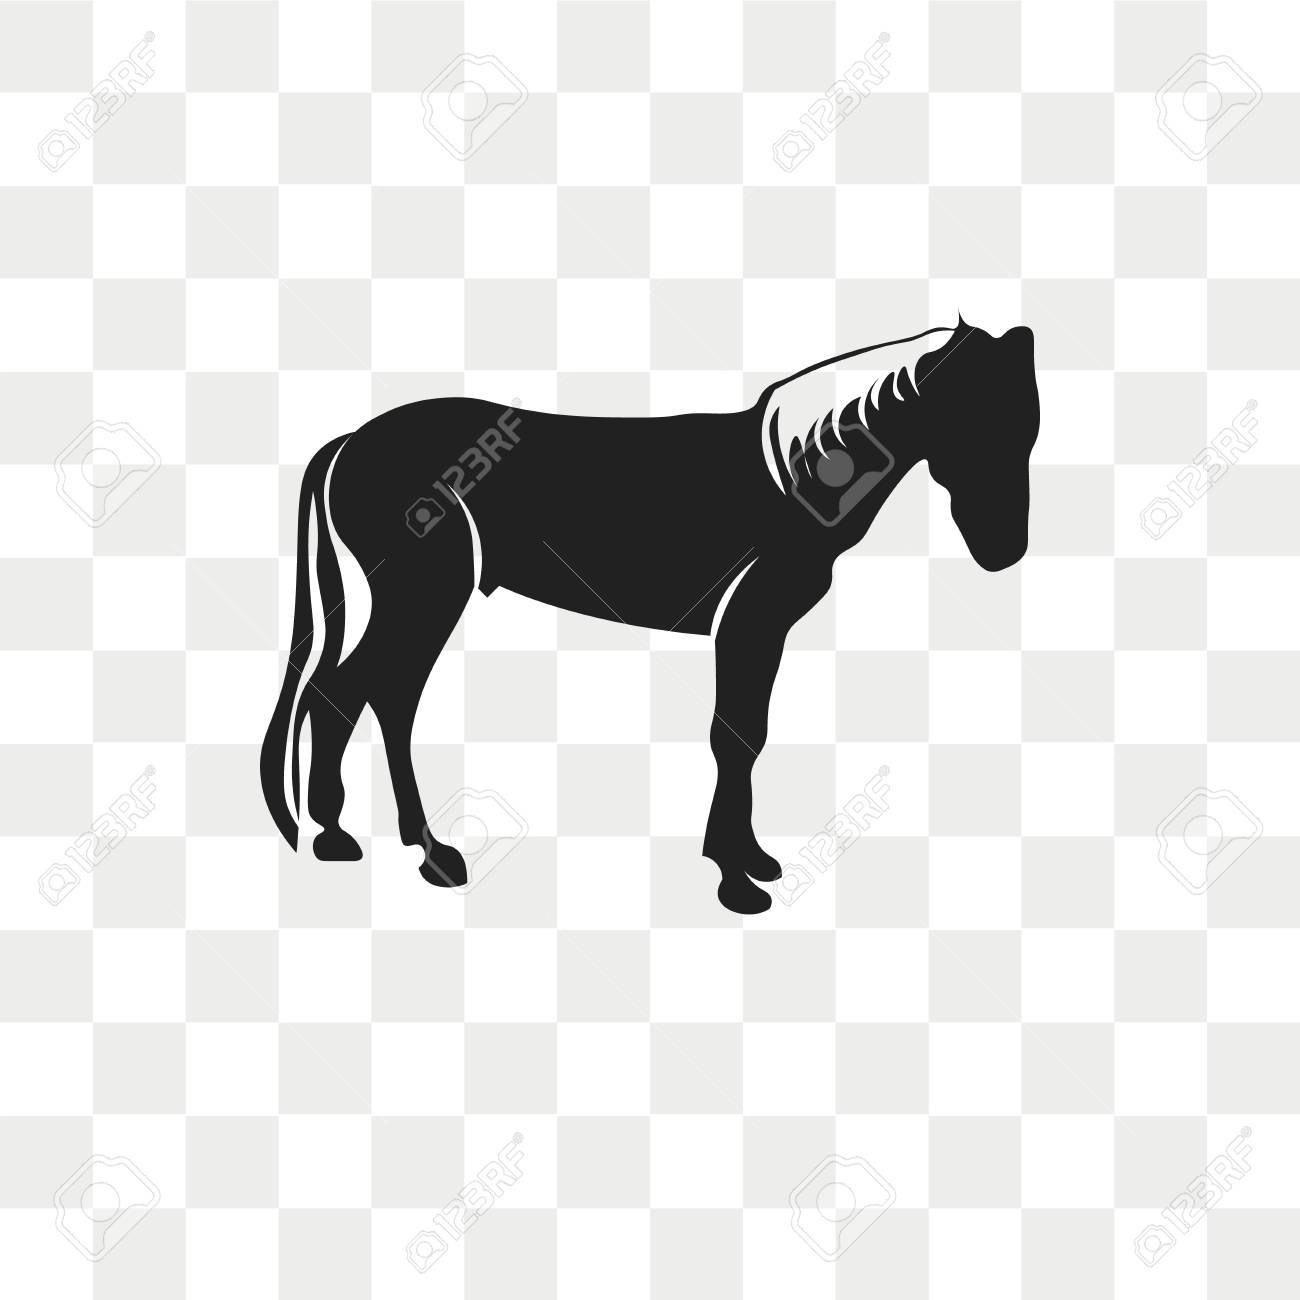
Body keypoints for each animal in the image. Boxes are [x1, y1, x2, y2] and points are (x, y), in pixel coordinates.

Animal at [261, 317, 1040, 913]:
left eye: (1029, 428)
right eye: (976, 420)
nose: (1005, 552)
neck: (795, 477)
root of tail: (349, 441)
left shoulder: (762, 630)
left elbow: (750, 736)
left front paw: (753, 860)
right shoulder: (749, 623)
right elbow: (735, 738)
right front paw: (735, 882)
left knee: (363, 694)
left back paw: (356, 838)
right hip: (424, 592)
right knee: (364, 692)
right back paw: (410, 850)